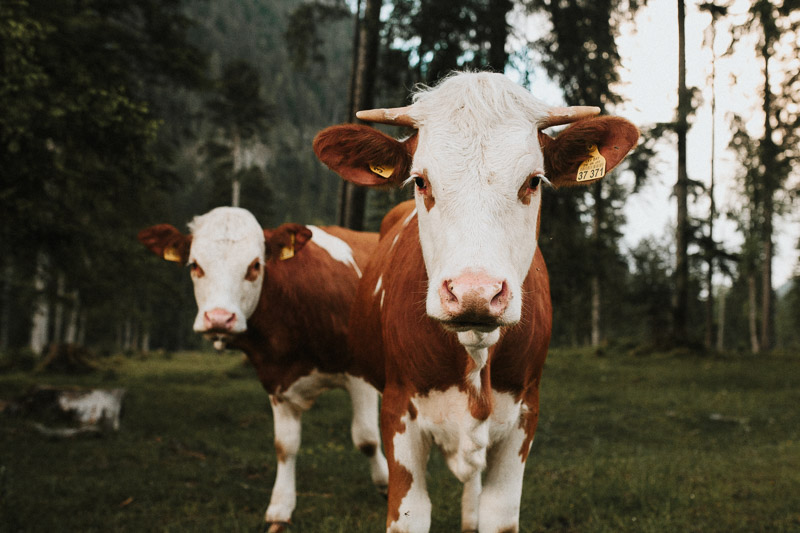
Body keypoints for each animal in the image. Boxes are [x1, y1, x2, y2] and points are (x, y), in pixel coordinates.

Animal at [138, 205, 388, 532]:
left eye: (255, 265)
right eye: (194, 265)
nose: (219, 318)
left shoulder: (360, 375)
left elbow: (367, 438)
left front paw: (386, 485)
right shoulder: (276, 380)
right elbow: (285, 446)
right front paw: (280, 510)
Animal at [312, 71, 636, 532]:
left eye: (533, 180)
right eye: (420, 180)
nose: (475, 293)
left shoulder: (524, 417)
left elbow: (497, 514)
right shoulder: (398, 412)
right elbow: (410, 512)